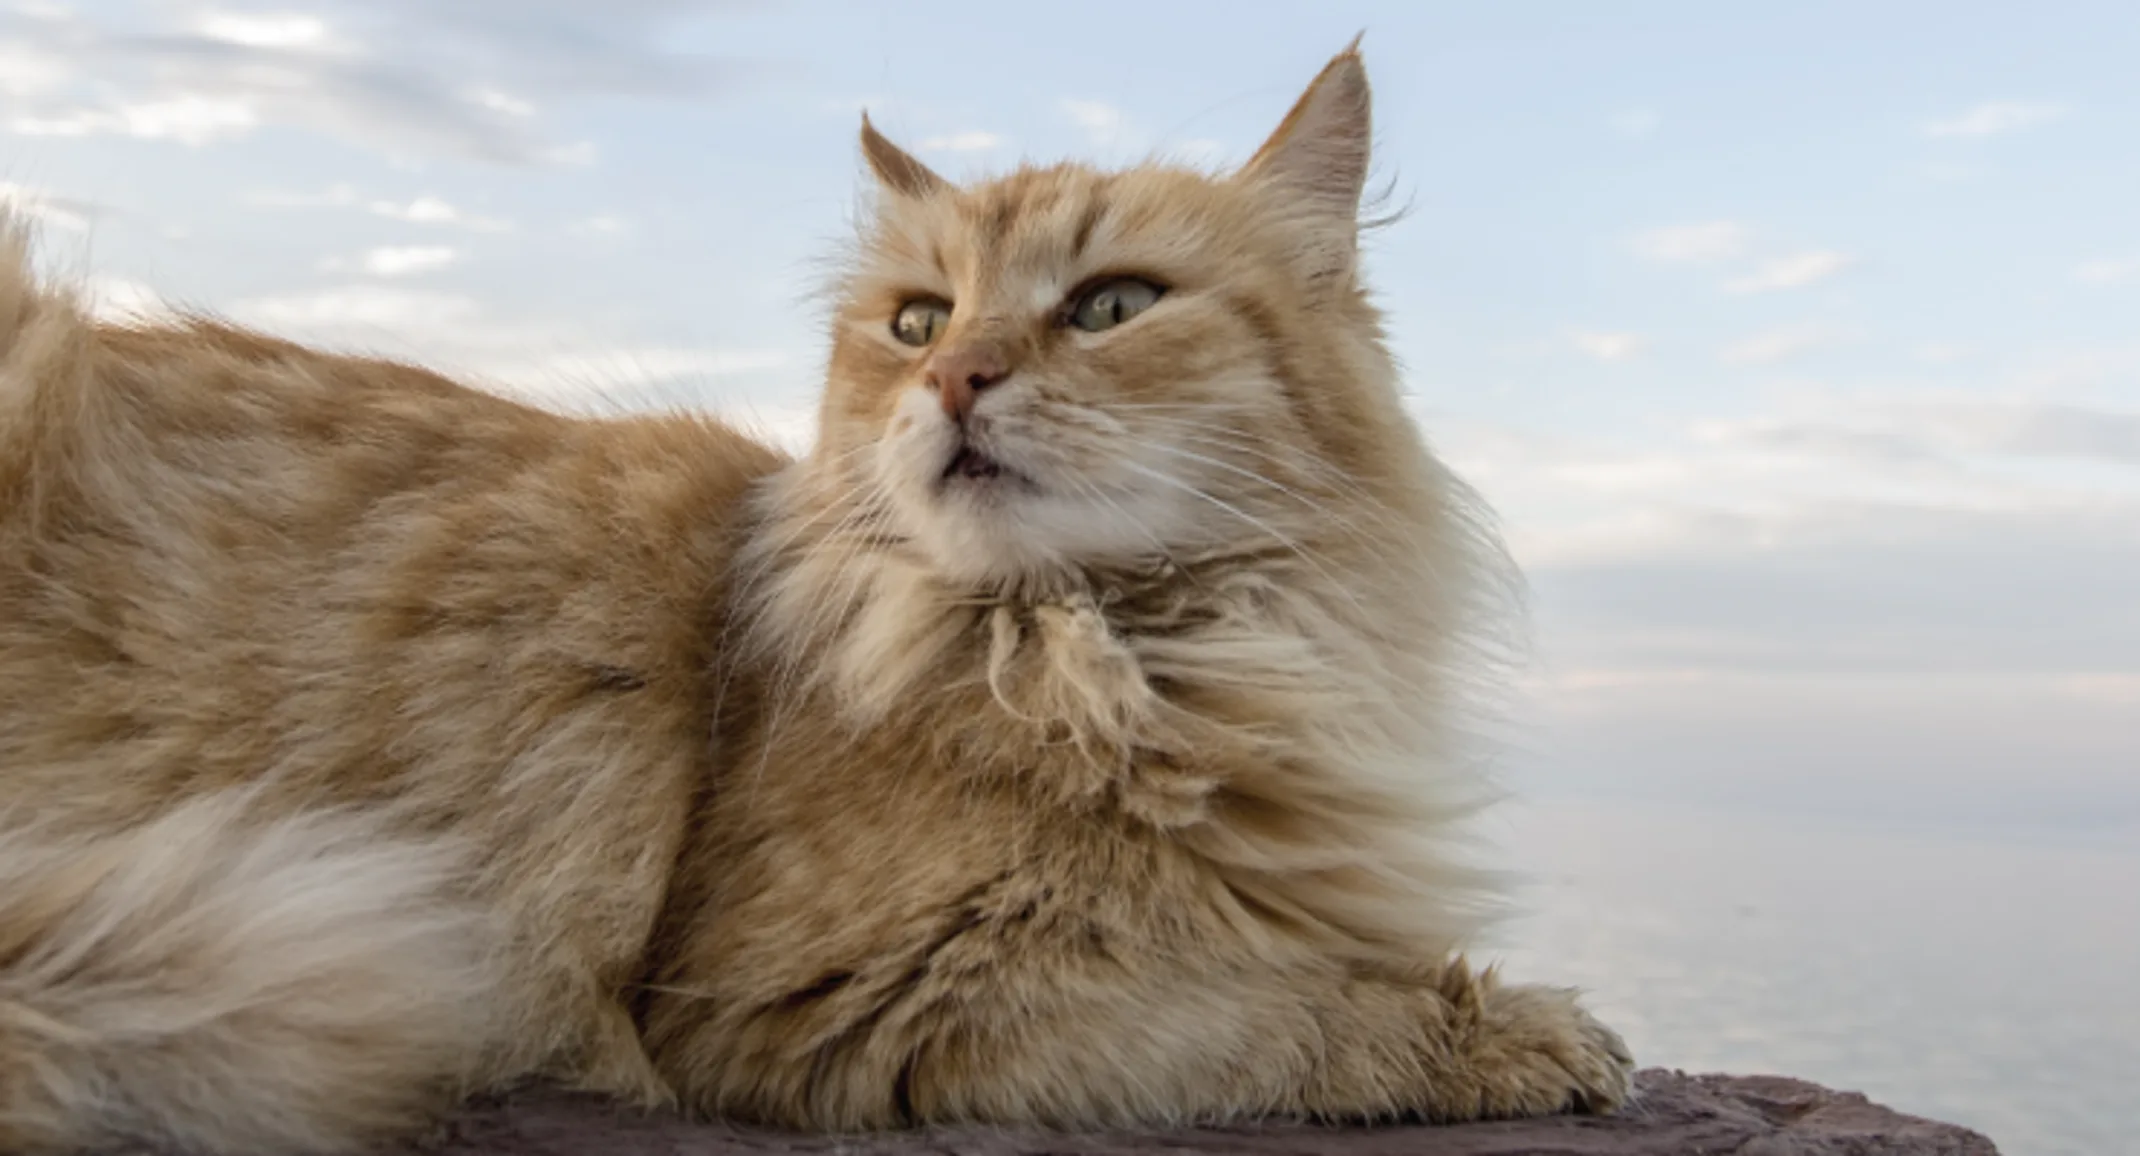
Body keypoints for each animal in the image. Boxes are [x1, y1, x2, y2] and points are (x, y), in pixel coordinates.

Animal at [0, 40, 1626, 1147]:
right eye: (917, 322)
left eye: (1110, 307)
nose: (957, 380)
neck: (1105, 652)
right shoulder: (844, 1003)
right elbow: (1265, 1008)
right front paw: (1503, 1033)